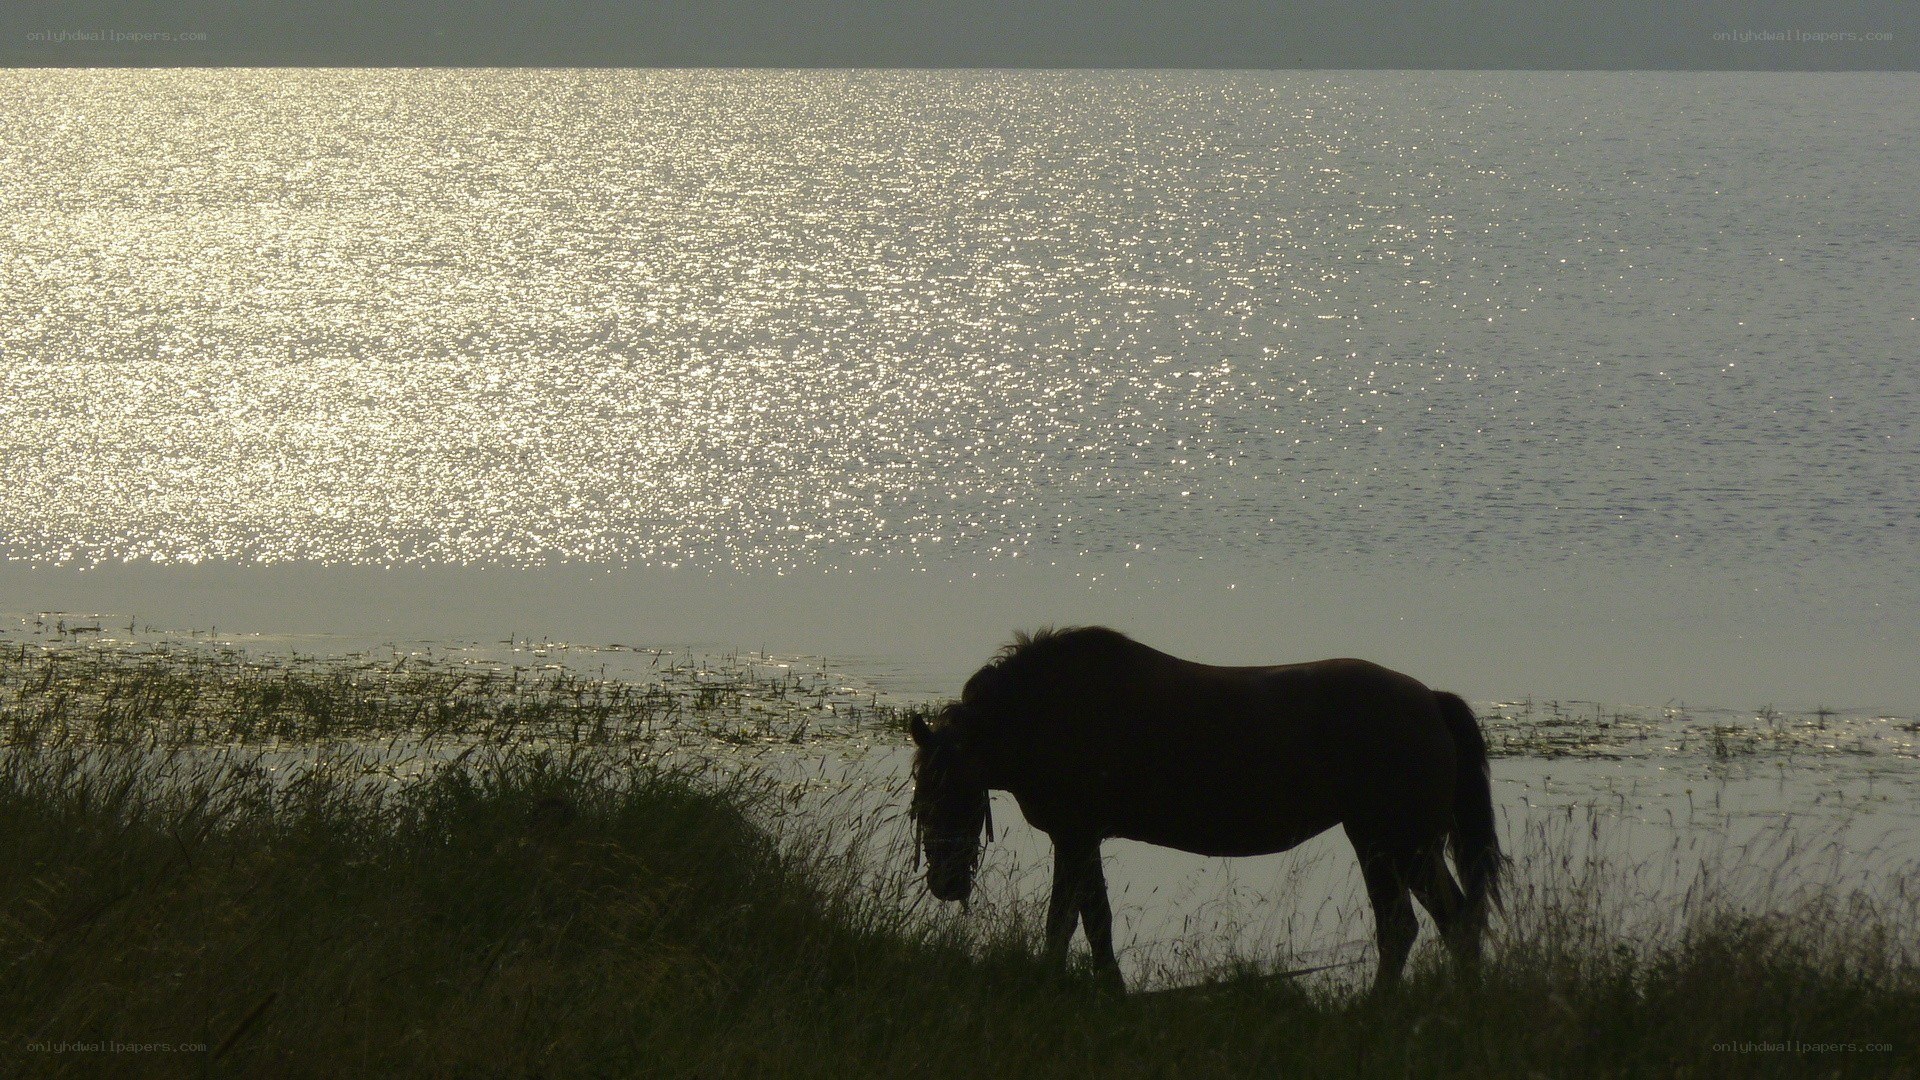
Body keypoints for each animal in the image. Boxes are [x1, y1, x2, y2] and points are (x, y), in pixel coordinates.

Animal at [908, 626, 1502, 992]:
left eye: (950, 792)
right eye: (921, 798)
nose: (945, 884)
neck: (1045, 711)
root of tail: (1430, 701)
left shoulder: (1076, 836)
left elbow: (1077, 922)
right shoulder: (1079, 839)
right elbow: (1083, 922)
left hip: (1388, 843)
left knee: (1411, 926)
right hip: (1403, 846)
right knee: (1449, 921)